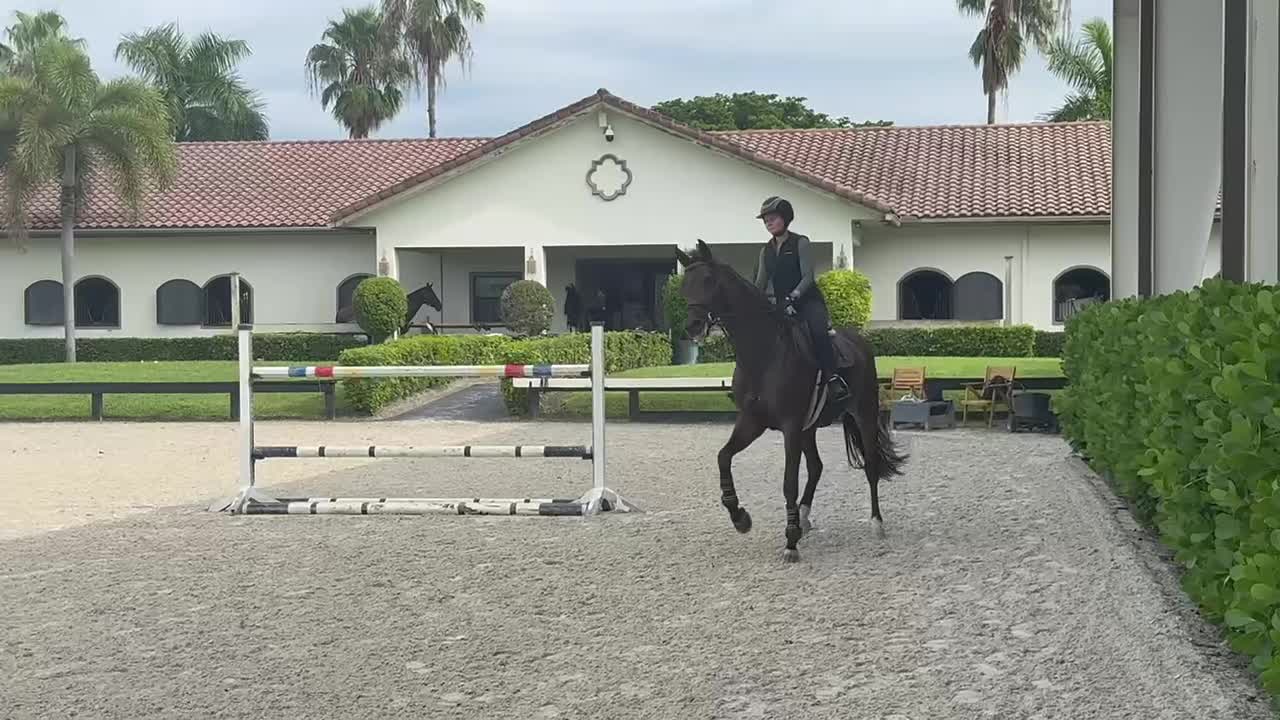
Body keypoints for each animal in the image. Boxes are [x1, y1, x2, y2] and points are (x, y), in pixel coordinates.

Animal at [675, 239, 907, 563]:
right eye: (685, 284)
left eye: (708, 280)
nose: (693, 326)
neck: (764, 353)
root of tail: (858, 341)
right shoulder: (753, 422)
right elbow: (723, 457)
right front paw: (740, 517)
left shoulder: (790, 427)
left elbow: (788, 483)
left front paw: (791, 541)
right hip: (809, 429)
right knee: (817, 467)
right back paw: (805, 517)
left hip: (863, 413)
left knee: (870, 465)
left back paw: (876, 523)